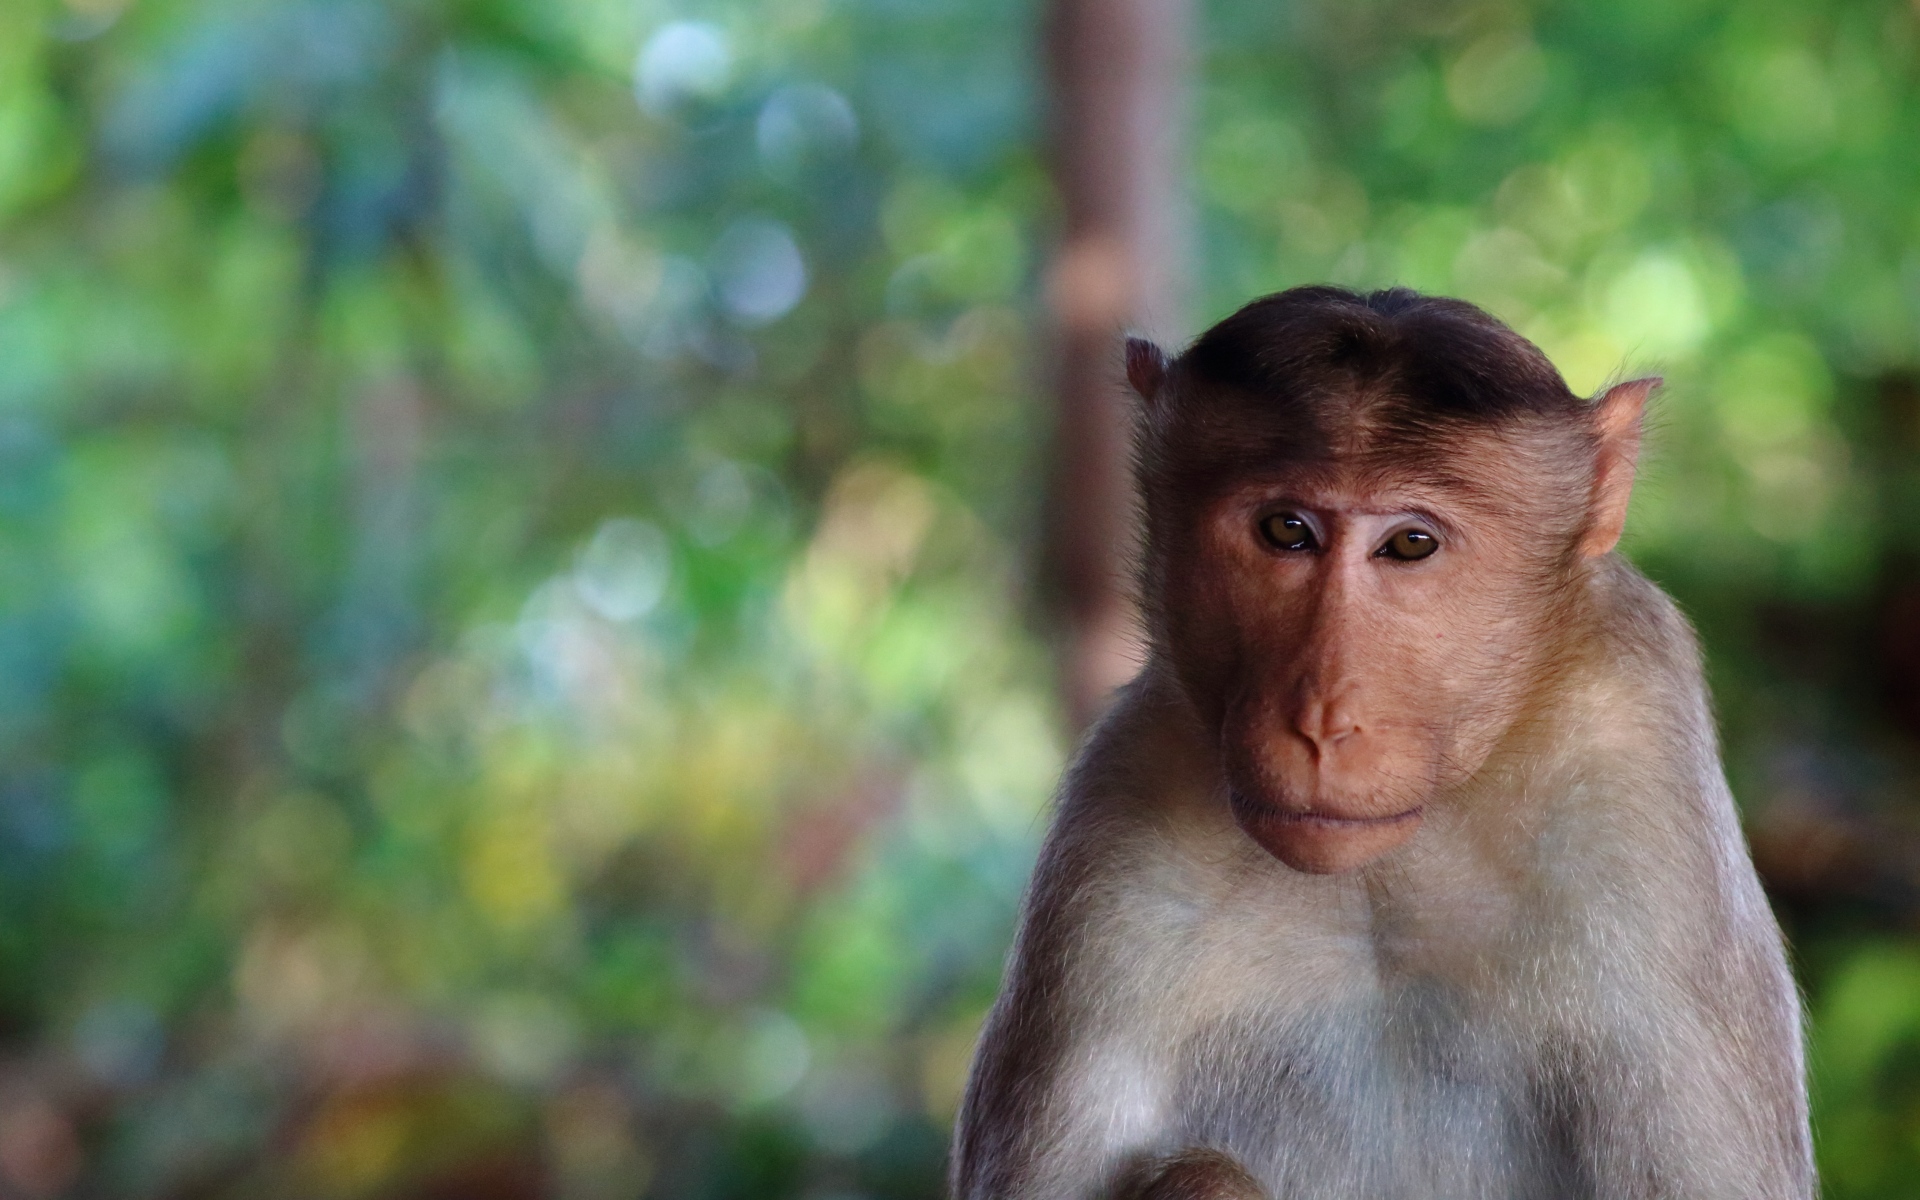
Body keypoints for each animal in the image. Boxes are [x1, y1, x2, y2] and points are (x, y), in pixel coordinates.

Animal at [950, 287, 1811, 1199]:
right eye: (1286, 530)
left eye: (1410, 544)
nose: (1322, 719)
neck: (1384, 874)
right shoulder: (1121, 810)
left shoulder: (1635, 748)